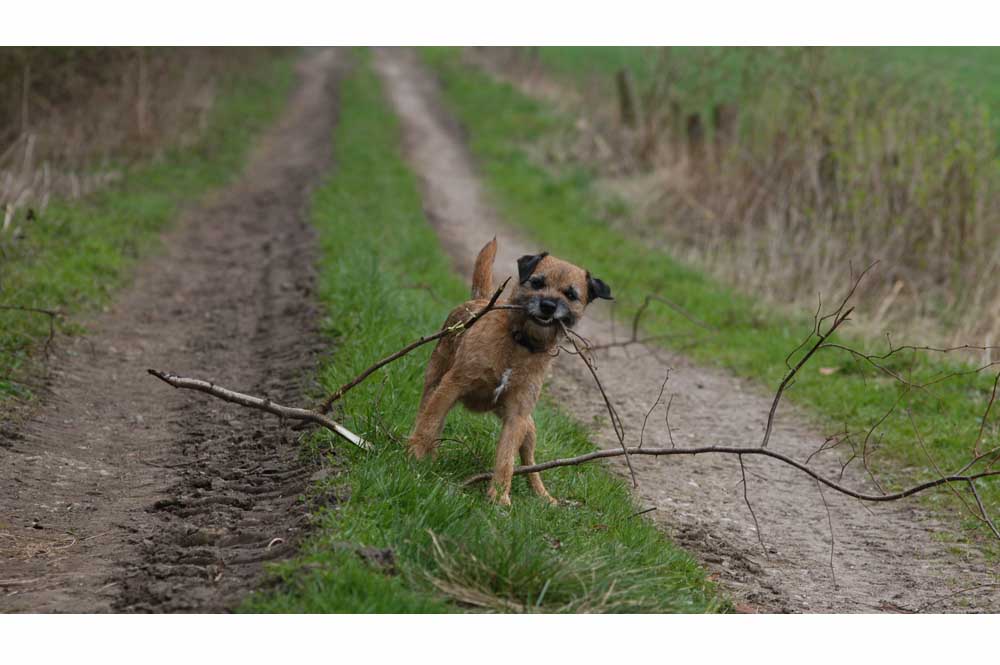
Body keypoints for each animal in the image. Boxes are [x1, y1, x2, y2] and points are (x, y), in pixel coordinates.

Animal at [406, 239, 608, 504]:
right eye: (537, 282)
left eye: (571, 294)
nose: (548, 305)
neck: (519, 343)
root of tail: (481, 301)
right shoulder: (452, 386)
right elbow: (429, 424)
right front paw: (416, 455)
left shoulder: (517, 415)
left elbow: (506, 459)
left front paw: (499, 498)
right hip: (435, 384)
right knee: (427, 417)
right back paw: (426, 453)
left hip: (529, 428)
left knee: (530, 464)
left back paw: (544, 496)